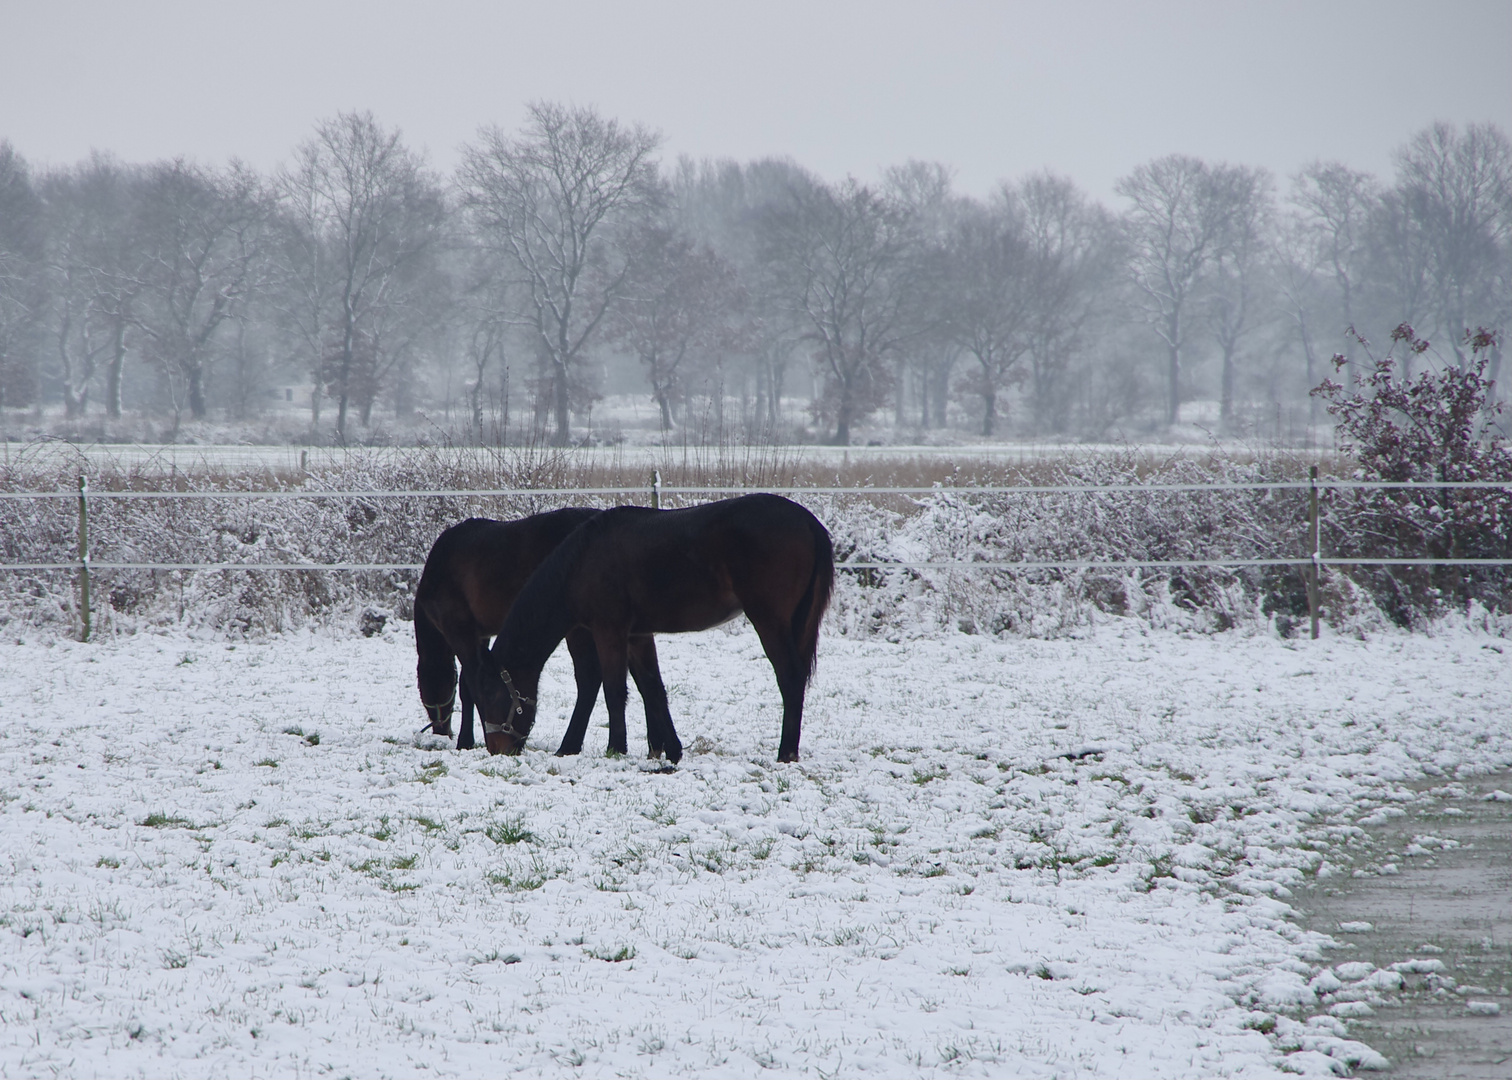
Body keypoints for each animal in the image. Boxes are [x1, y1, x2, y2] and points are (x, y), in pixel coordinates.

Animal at [414, 511, 674, 750]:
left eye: (426, 689)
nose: (440, 731)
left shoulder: (460, 633)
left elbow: (469, 687)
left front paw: (467, 741)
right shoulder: (480, 636)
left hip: (581, 631)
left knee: (589, 679)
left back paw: (570, 745)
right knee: (642, 679)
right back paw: (657, 744)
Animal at [474, 493, 834, 762]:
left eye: (491, 694)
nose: (497, 750)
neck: (584, 561)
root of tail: (809, 522)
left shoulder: (609, 631)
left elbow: (615, 690)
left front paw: (615, 749)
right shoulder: (638, 636)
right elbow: (653, 688)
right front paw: (671, 750)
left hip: (769, 621)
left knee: (790, 677)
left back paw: (786, 753)